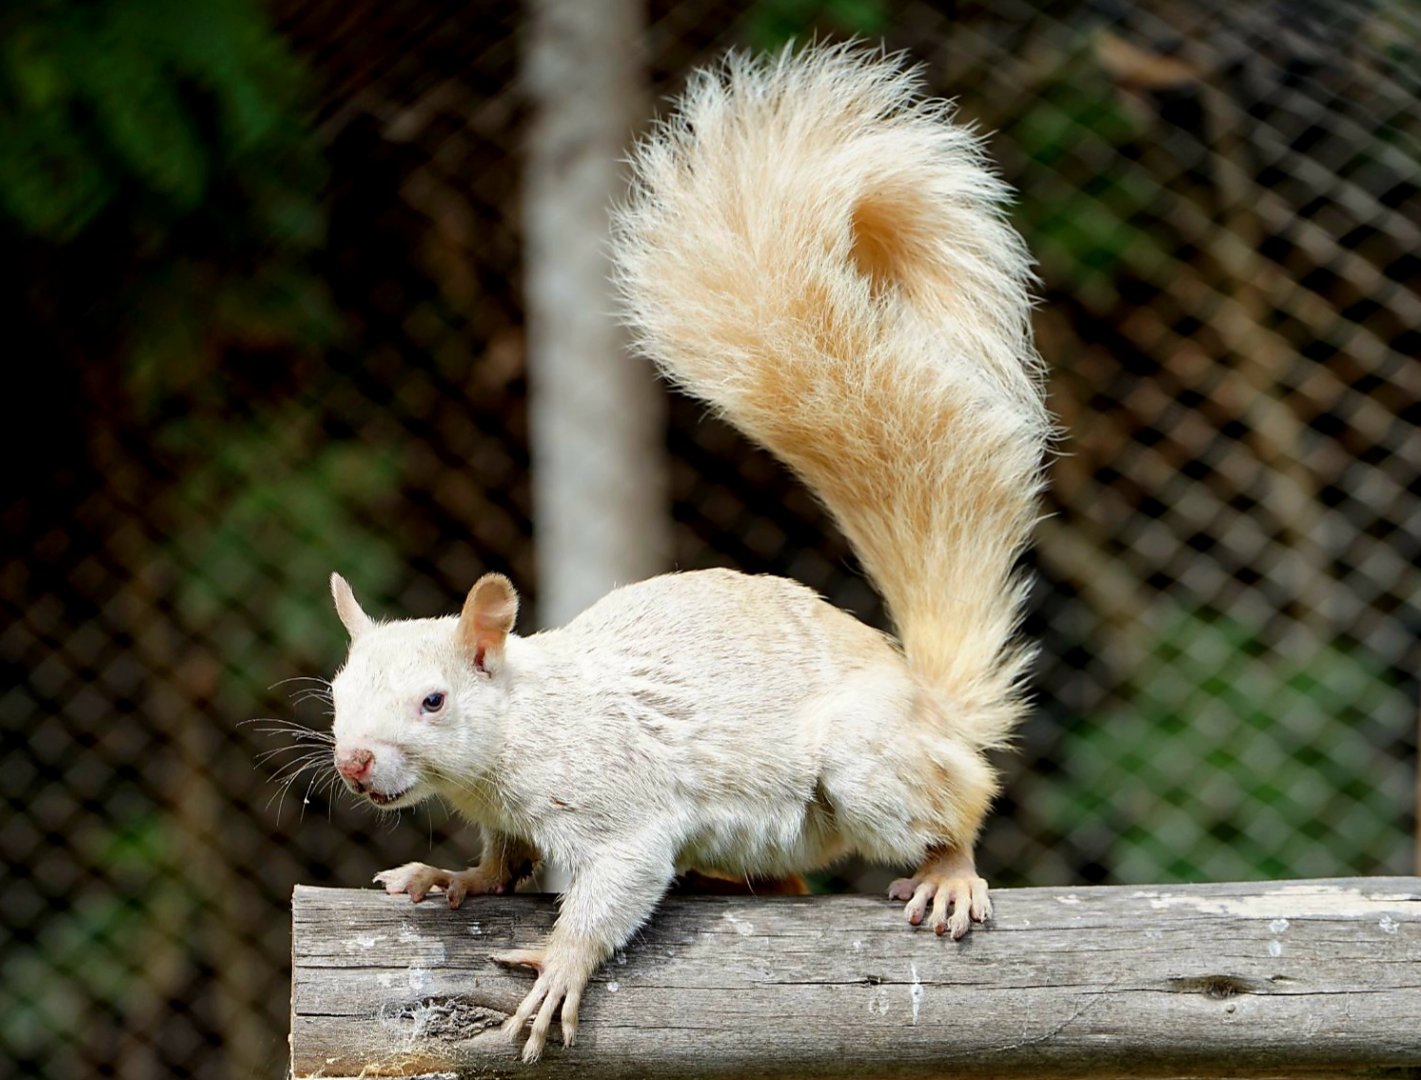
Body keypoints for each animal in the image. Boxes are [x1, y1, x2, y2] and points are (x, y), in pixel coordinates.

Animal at [326, 45, 1048, 1064]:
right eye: (336, 695)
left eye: (433, 700)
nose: (353, 764)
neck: (519, 729)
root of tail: (930, 704)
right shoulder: (507, 819)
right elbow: (500, 868)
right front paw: (449, 878)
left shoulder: (621, 808)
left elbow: (617, 882)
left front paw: (559, 967)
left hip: (870, 762)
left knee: (962, 797)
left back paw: (949, 868)